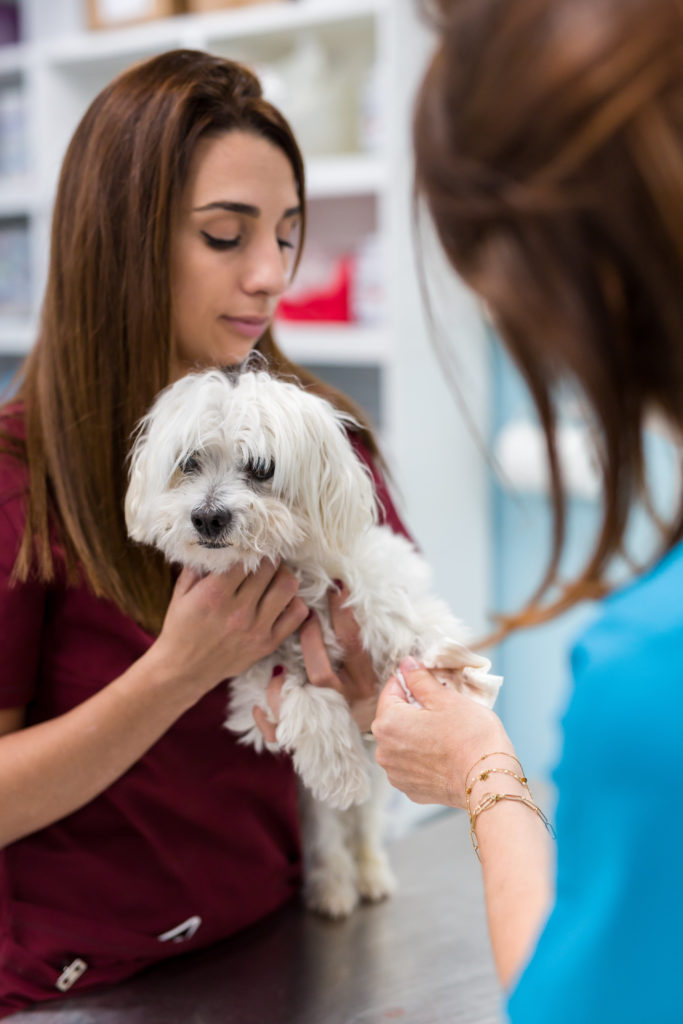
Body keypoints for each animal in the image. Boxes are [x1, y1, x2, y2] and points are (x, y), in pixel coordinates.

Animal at [125, 370, 501, 921]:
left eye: (261, 467)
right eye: (189, 462)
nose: (208, 518)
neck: (297, 574)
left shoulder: (375, 580)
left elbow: (403, 613)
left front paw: (454, 667)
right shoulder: (249, 672)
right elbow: (300, 693)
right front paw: (335, 764)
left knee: (364, 824)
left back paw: (369, 874)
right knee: (333, 831)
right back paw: (334, 886)